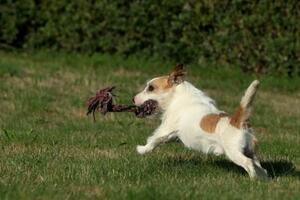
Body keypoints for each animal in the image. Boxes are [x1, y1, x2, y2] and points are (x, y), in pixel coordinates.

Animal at [132, 64, 268, 178]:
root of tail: (237, 121)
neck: (177, 96)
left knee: (248, 163)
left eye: (150, 88)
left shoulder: (166, 129)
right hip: (250, 151)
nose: (133, 98)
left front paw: (141, 149)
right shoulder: (173, 134)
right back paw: (263, 179)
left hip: (234, 152)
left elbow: (154, 140)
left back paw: (253, 178)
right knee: (260, 166)